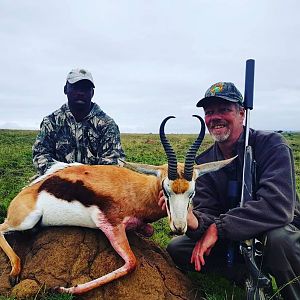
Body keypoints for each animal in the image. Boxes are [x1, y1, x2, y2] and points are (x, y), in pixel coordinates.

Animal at [0, 116, 234, 294]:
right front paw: (64, 289)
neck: (136, 191)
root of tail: (27, 192)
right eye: (166, 190)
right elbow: (131, 263)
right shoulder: (111, 225)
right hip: (26, 220)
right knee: (1, 227)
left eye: (192, 192)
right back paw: (14, 272)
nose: (178, 227)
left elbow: (147, 232)